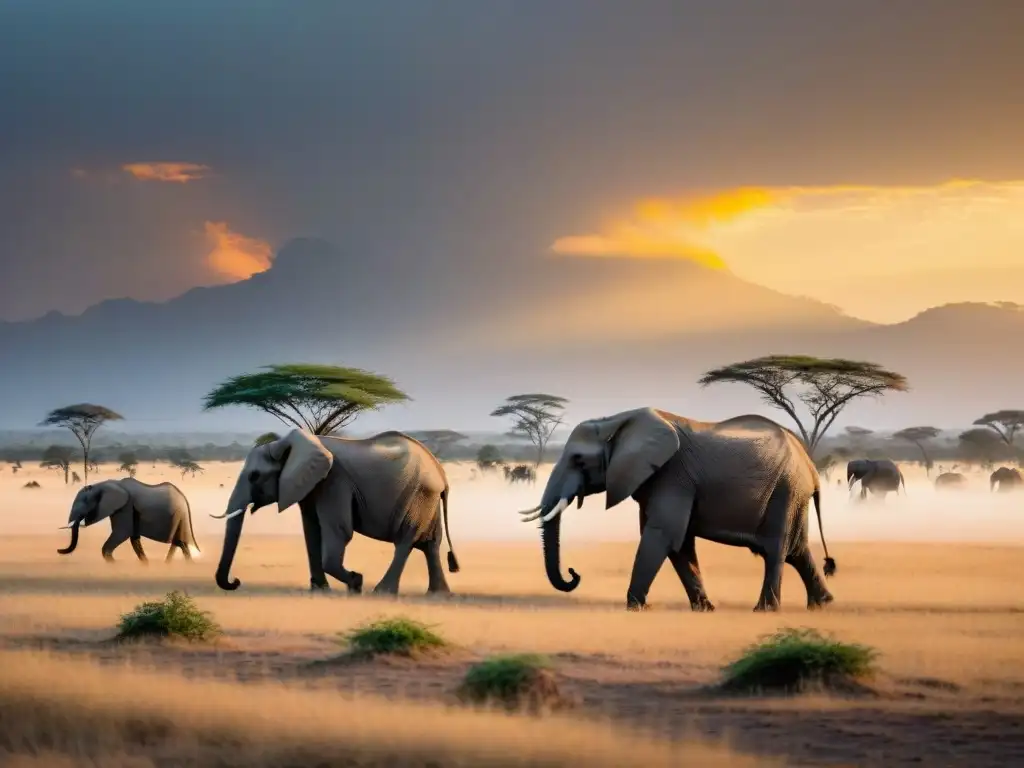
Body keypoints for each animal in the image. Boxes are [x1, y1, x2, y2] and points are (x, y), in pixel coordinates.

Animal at [58, 481, 199, 565]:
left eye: (85, 502)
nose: (59, 550)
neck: (105, 484)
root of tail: (184, 499)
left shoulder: (125, 507)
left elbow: (122, 533)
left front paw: (114, 565)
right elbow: (134, 538)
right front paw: (145, 565)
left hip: (178, 515)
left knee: (179, 542)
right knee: (179, 542)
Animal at [211, 430, 460, 598]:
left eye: (254, 476)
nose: (236, 581)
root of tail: (441, 473)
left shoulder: (334, 481)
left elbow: (339, 530)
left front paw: (356, 583)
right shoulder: (310, 485)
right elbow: (311, 530)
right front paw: (320, 591)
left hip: (418, 495)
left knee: (406, 541)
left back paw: (381, 593)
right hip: (427, 499)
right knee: (430, 544)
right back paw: (438, 595)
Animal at [516, 411, 835, 618]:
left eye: (579, 460)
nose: (574, 573)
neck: (616, 422)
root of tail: (811, 467)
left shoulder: (672, 476)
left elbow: (663, 535)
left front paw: (635, 608)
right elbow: (679, 544)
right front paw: (704, 610)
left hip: (785, 490)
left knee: (776, 549)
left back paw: (765, 611)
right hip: (792, 495)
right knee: (797, 550)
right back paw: (822, 604)